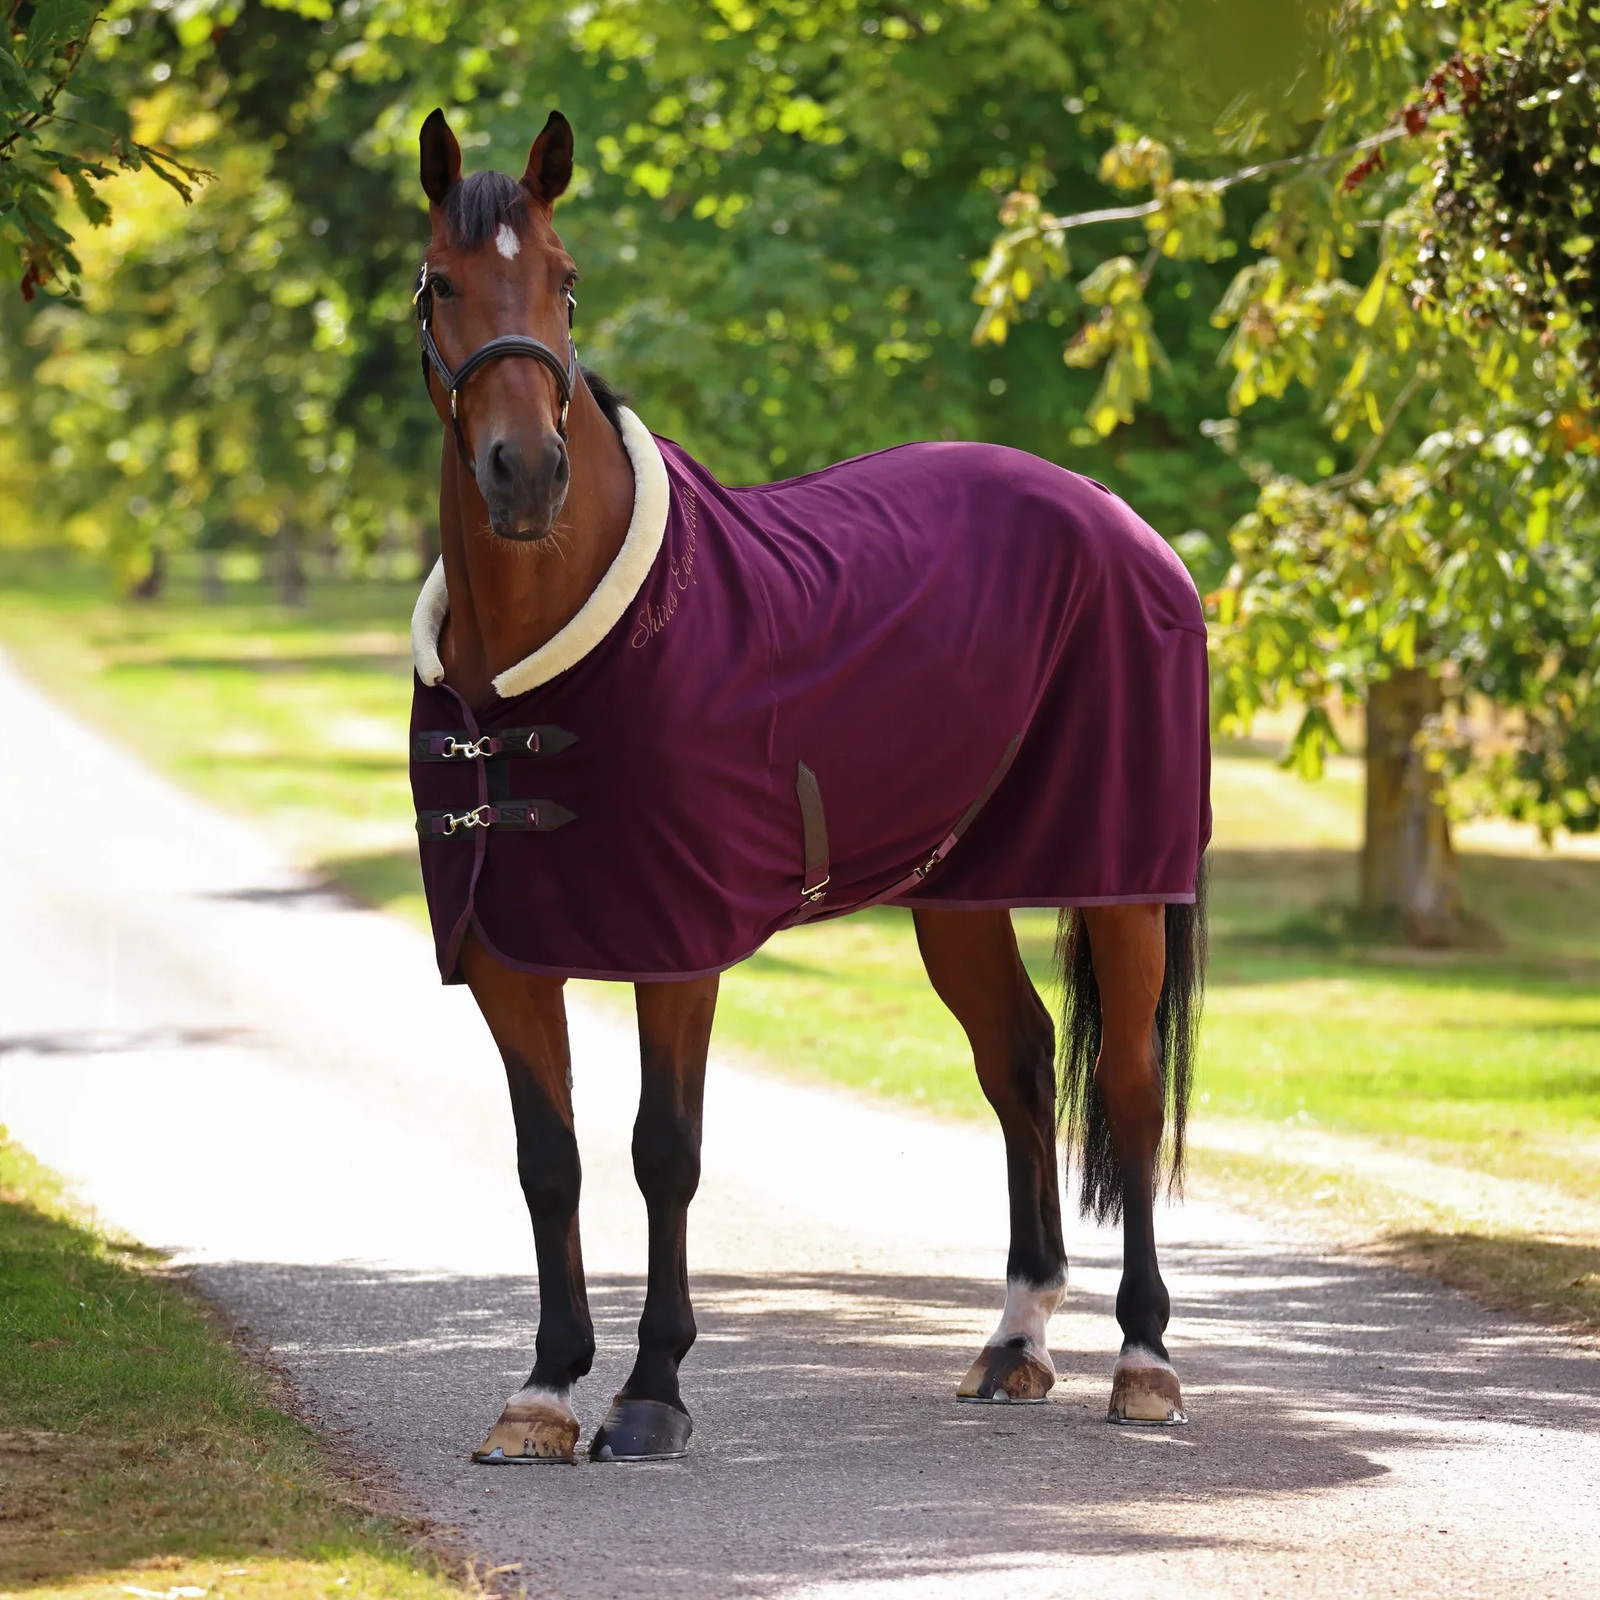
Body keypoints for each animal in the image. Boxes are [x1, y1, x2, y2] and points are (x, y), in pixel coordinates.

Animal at [407, 107, 1210, 1465]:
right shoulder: (508, 952)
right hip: (958, 893)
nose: (525, 474)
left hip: (1120, 879)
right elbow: (548, 1161)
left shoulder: (677, 949)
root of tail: (1115, 512)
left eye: (565, 280)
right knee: (1020, 1062)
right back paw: (1015, 1341)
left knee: (1130, 1090)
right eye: (439, 283)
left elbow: (662, 1153)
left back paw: (1144, 1362)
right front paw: (544, 1389)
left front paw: (650, 1392)